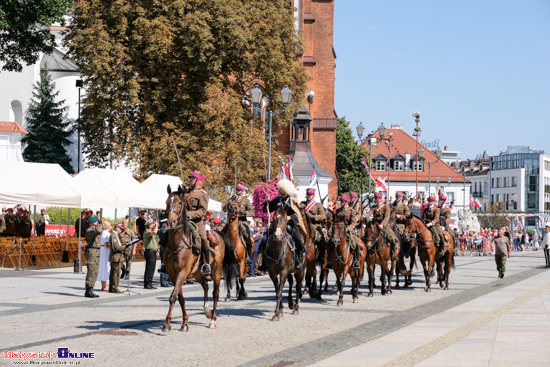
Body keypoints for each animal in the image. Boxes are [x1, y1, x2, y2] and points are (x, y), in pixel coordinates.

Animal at [162, 185, 235, 332]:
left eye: (180, 203)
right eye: (167, 202)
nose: (171, 222)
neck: (177, 244)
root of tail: (218, 233)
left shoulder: (183, 272)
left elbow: (173, 296)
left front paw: (167, 324)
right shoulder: (173, 274)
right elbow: (180, 298)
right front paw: (184, 323)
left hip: (216, 271)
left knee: (215, 293)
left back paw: (213, 319)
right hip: (197, 273)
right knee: (206, 285)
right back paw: (207, 311)